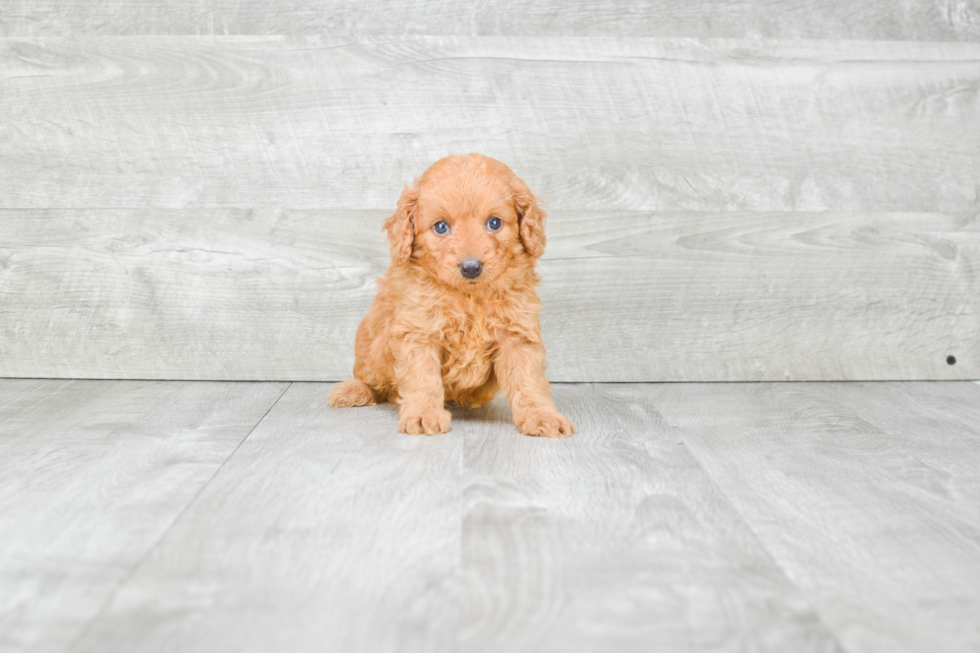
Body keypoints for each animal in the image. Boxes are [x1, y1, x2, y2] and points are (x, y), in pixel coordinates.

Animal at [330, 153, 576, 438]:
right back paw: (353, 390)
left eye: (494, 223)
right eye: (440, 227)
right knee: (372, 379)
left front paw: (542, 416)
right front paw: (423, 415)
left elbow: (528, 380)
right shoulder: (419, 332)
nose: (471, 267)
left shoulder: (518, 333)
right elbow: (423, 377)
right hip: (368, 346)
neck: (470, 296)